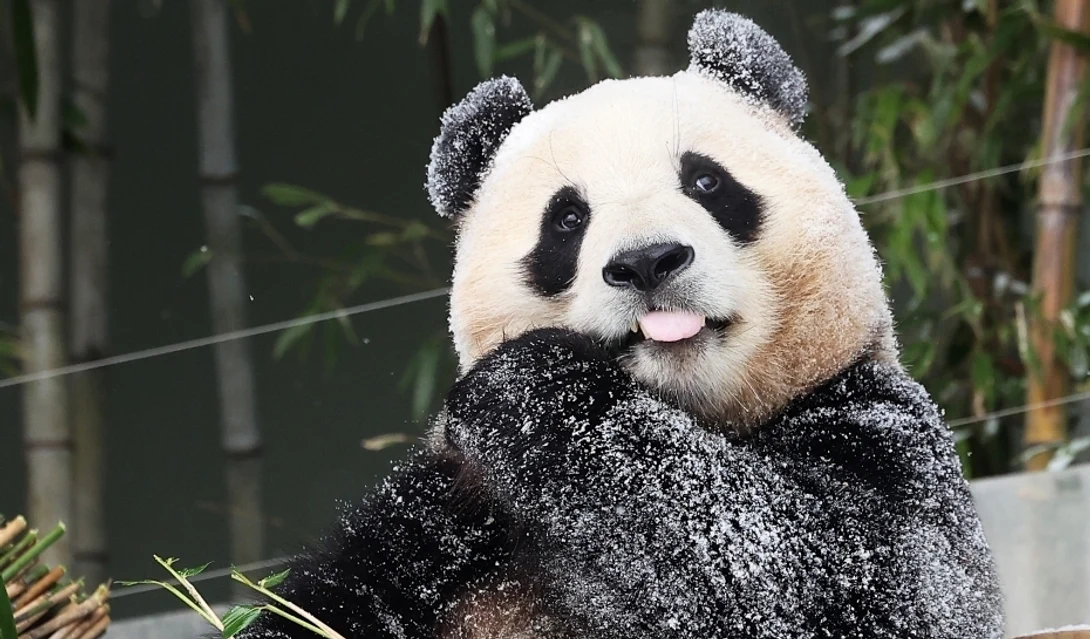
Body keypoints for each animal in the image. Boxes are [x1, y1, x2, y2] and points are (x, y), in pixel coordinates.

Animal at [235, 9, 1004, 639]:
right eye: (568, 219)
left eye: (706, 181)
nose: (646, 261)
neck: (691, 411)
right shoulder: (453, 519)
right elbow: (328, 603)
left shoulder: (881, 424)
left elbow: (835, 574)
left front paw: (530, 384)